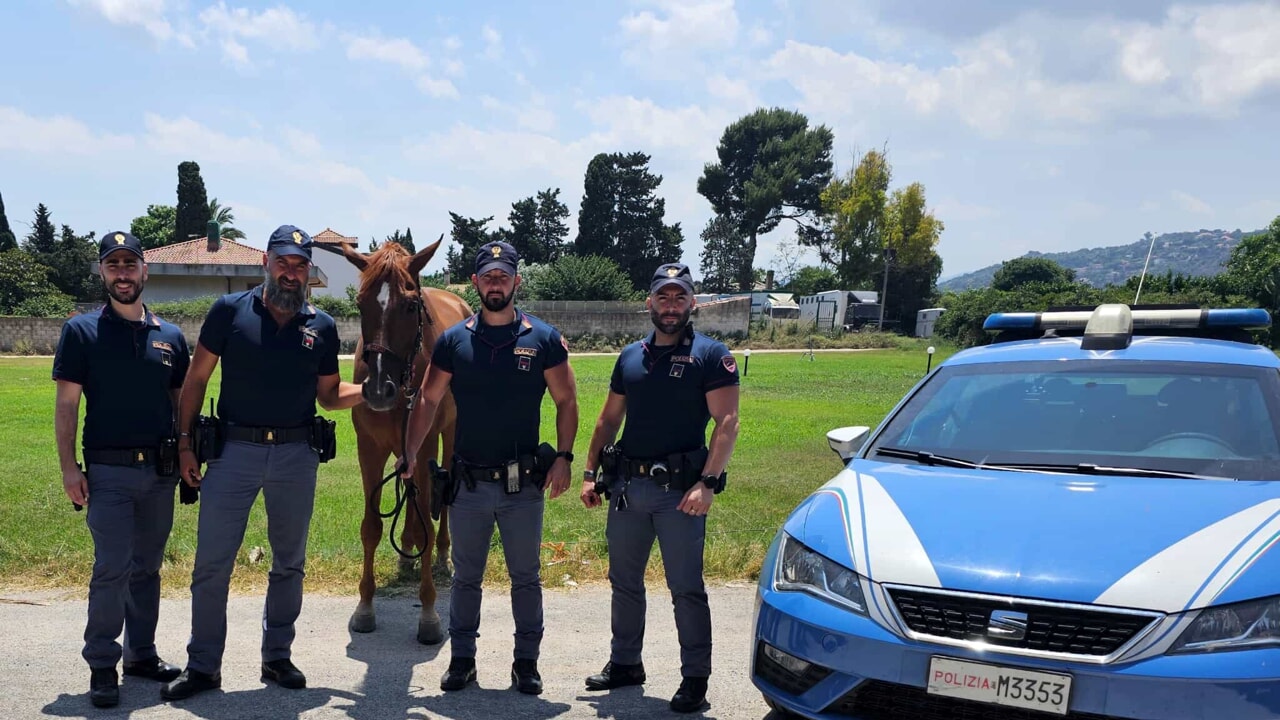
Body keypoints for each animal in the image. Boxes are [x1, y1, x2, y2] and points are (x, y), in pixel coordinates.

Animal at [340, 238, 471, 640]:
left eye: (411, 305)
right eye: (361, 303)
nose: (379, 389)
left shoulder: (426, 444)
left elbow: (427, 514)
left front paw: (428, 613)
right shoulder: (370, 448)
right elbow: (371, 527)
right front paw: (365, 606)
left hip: (448, 434)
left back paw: (441, 555)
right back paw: (406, 552)